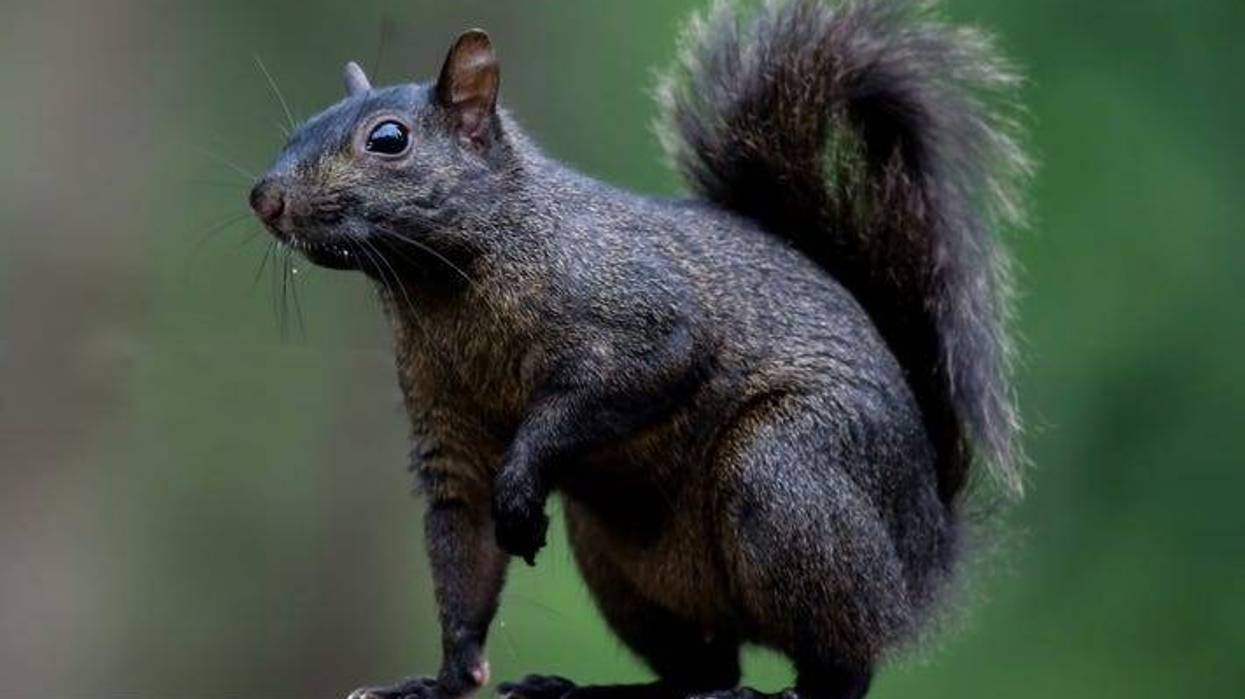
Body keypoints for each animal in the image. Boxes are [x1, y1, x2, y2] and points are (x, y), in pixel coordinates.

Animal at [247, 1, 1029, 698]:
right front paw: (445, 679)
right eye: (298, 127)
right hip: (624, 568)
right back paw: (588, 688)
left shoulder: (647, 317)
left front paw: (521, 485)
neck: (442, 283)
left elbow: (628, 379)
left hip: (788, 471)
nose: (264, 198)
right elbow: (463, 544)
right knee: (703, 668)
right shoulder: (448, 426)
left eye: (388, 139)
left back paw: (795, 688)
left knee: (843, 657)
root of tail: (923, 558)